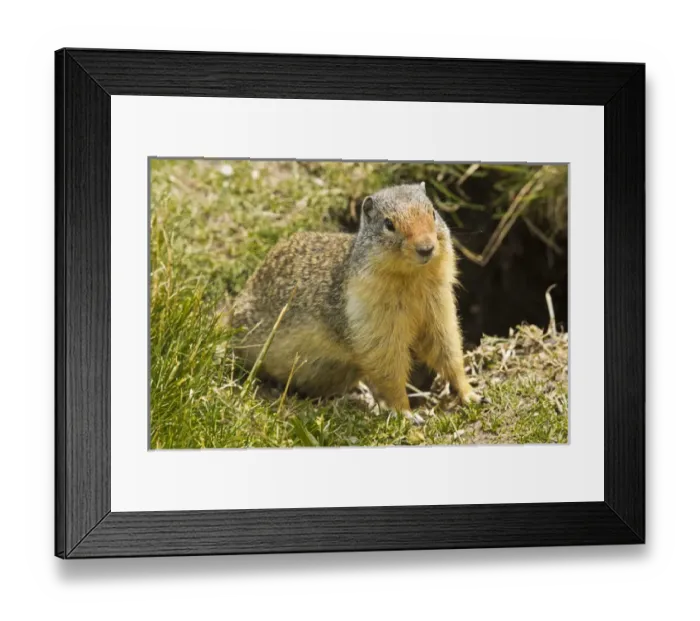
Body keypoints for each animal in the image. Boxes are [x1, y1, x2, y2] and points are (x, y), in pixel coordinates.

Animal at [232, 182, 480, 420]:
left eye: (433, 213)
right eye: (388, 224)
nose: (426, 248)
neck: (412, 281)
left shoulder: (438, 309)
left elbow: (447, 351)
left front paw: (471, 394)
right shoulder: (377, 326)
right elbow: (390, 371)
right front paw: (406, 413)